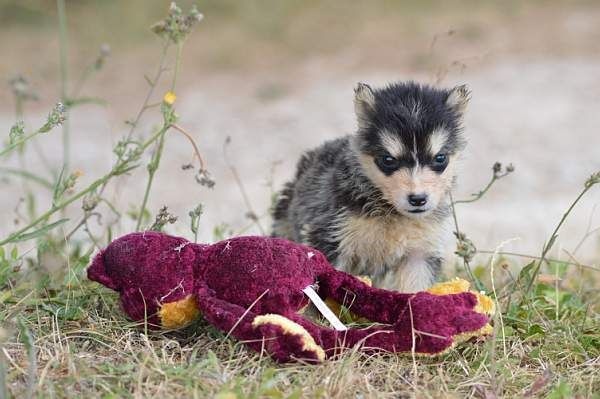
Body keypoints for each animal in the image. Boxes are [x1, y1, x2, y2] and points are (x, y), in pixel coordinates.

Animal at [272, 82, 468, 294]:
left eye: (440, 158)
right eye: (388, 160)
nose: (418, 199)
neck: (390, 212)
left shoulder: (420, 254)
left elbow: (414, 289)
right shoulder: (330, 237)